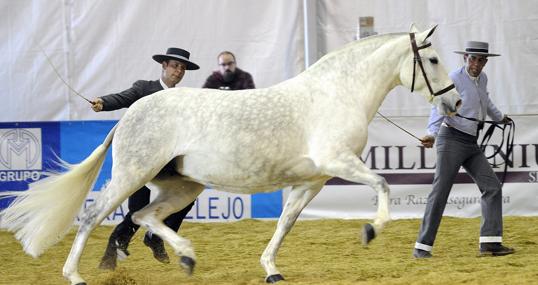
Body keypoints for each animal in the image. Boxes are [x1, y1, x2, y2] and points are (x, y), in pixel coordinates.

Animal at [2, 25, 458, 284]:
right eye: (433, 59)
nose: (453, 104)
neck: (336, 94)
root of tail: (132, 110)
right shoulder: (338, 163)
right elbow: (382, 183)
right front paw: (371, 230)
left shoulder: (311, 182)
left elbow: (285, 224)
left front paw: (272, 269)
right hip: (132, 175)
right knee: (94, 217)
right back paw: (75, 275)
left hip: (183, 186)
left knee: (145, 216)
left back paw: (186, 257)